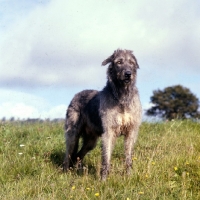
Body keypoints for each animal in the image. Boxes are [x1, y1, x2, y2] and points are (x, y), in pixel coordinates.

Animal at [63, 48, 141, 180]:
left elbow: (128, 157)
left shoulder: (131, 131)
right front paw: (103, 179)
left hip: (91, 140)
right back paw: (64, 172)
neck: (122, 97)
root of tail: (76, 95)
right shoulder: (109, 132)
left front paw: (129, 176)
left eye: (131, 63)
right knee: (68, 153)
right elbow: (106, 158)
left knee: (78, 155)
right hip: (73, 133)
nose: (128, 74)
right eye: (119, 62)